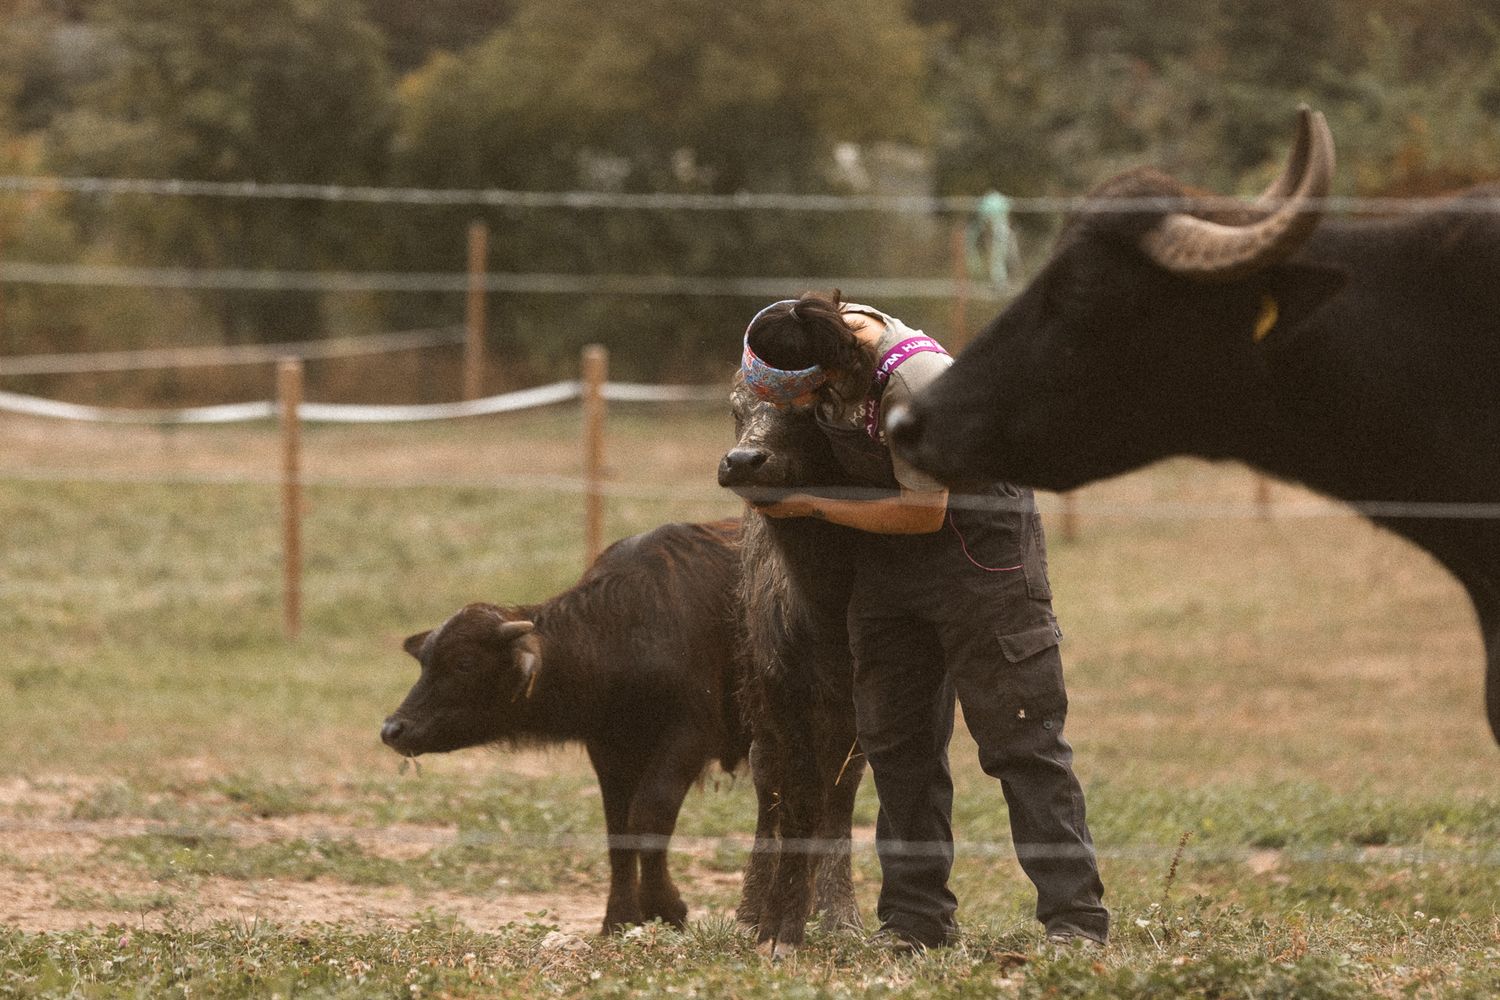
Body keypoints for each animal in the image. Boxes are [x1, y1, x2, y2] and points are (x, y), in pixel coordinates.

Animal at [718, 377, 868, 958]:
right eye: (736, 409)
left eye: (811, 410)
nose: (742, 461)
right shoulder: (783, 693)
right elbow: (799, 798)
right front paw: (780, 928)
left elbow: (840, 797)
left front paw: (840, 913)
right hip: (758, 704)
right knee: (769, 784)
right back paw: (749, 912)